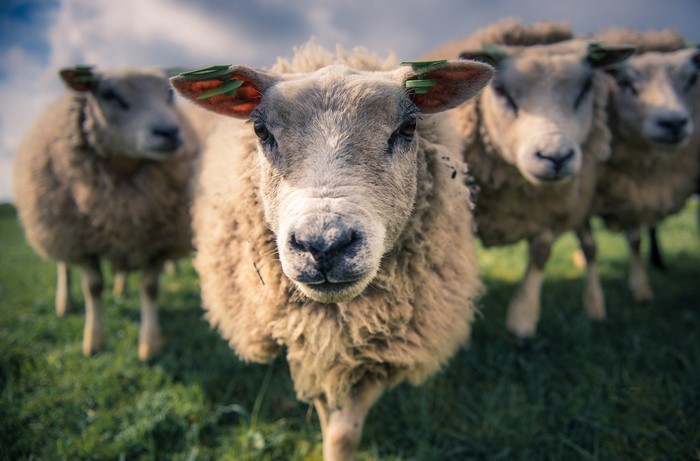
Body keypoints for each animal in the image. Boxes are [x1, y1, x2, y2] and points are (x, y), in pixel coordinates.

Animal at [13, 66, 199, 361]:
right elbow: (93, 287)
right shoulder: (82, 241)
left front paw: (149, 346)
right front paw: (94, 342)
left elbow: (149, 288)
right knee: (64, 266)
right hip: (58, 227)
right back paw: (64, 303)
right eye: (108, 94)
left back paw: (121, 287)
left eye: (169, 94)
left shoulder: (156, 241)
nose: (168, 132)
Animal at [169, 42, 493, 460]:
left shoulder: (379, 348)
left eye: (408, 128)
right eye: (260, 130)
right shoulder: (314, 341)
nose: (324, 244)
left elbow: (345, 433)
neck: (340, 321)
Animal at [426, 20, 634, 339]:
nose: (555, 157)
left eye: (586, 86)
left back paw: (596, 305)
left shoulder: (552, 206)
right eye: (500, 89)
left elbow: (541, 252)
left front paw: (522, 319)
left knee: (590, 246)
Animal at [586, 28, 700, 301]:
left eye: (691, 80)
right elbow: (590, 245)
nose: (674, 123)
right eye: (625, 83)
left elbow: (636, 238)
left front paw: (641, 289)